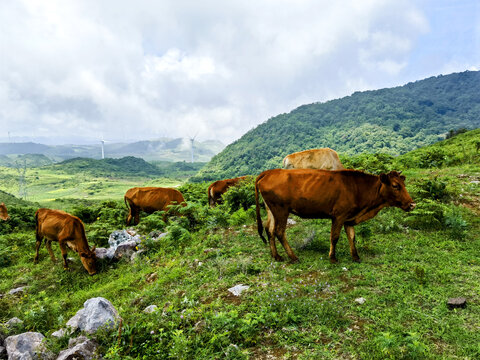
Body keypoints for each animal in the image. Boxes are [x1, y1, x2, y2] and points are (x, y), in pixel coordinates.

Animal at [255, 169, 416, 264]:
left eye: (403, 184)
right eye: (395, 186)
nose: (412, 204)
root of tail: (269, 172)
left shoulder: (349, 218)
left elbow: (352, 237)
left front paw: (355, 257)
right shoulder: (339, 215)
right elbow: (334, 237)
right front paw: (332, 258)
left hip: (271, 209)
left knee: (269, 230)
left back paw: (276, 256)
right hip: (281, 209)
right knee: (279, 232)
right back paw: (293, 257)